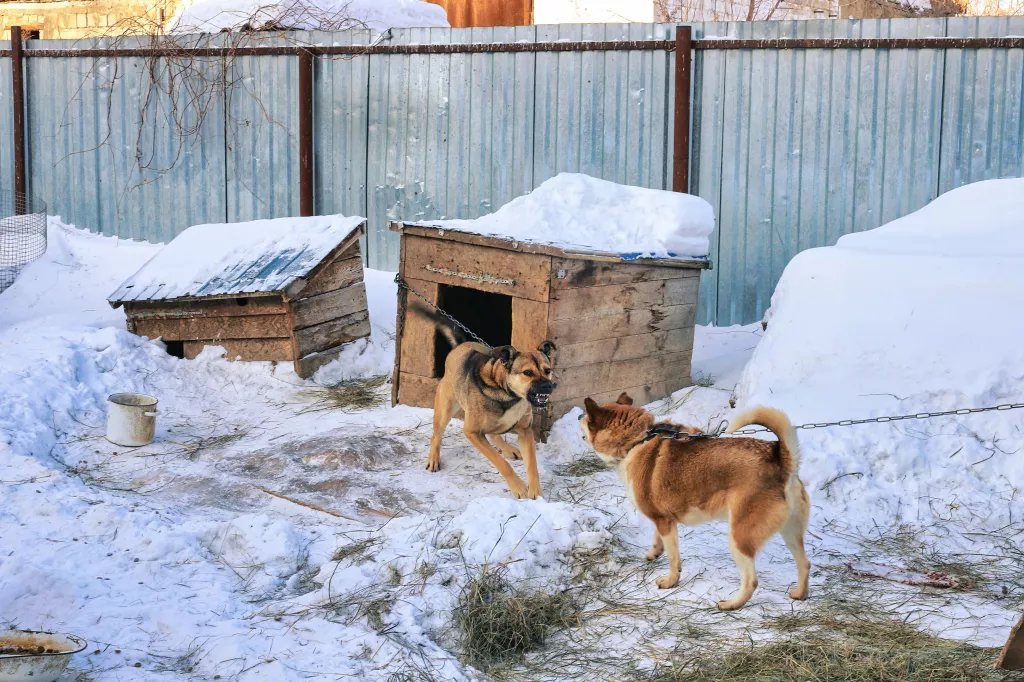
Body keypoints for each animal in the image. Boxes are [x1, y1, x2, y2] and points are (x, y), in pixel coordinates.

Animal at [411, 303, 561, 499]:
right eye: (527, 372)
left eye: (547, 370)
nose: (547, 386)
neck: (508, 395)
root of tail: (460, 346)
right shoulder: (472, 432)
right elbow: (501, 463)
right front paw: (519, 488)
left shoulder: (525, 431)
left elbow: (532, 466)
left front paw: (536, 493)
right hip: (445, 408)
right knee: (437, 434)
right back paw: (434, 459)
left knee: (493, 433)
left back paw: (508, 448)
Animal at [581, 391, 811, 606]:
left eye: (586, 419)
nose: (578, 417)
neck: (638, 440)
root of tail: (781, 459)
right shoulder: (664, 519)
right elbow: (657, 538)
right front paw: (655, 553)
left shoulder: (665, 522)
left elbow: (673, 559)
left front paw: (670, 581)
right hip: (790, 533)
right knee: (805, 564)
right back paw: (800, 594)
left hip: (739, 538)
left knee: (751, 581)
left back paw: (731, 604)